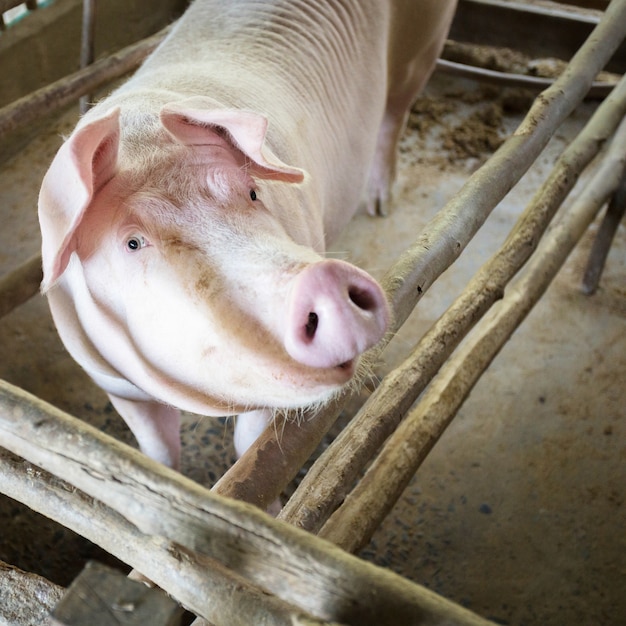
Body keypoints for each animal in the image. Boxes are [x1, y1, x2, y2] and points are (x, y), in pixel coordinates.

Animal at [36, 0, 454, 472]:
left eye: (253, 192)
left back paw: (379, 205)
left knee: (396, 112)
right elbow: (157, 450)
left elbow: (249, 450)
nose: (324, 279)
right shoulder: (113, 384)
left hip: (424, 41)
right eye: (132, 242)